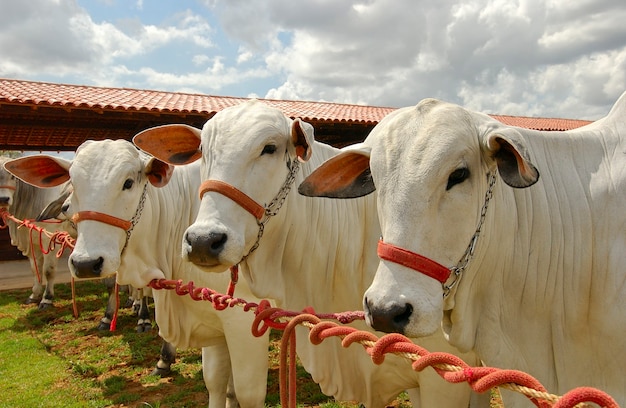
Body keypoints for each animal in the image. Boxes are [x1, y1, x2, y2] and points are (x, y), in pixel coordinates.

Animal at [0, 156, 72, 310]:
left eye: (12, 176)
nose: (3, 199)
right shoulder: (32, 241)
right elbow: (35, 269)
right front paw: (34, 295)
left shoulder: (50, 240)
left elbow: (48, 270)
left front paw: (46, 299)